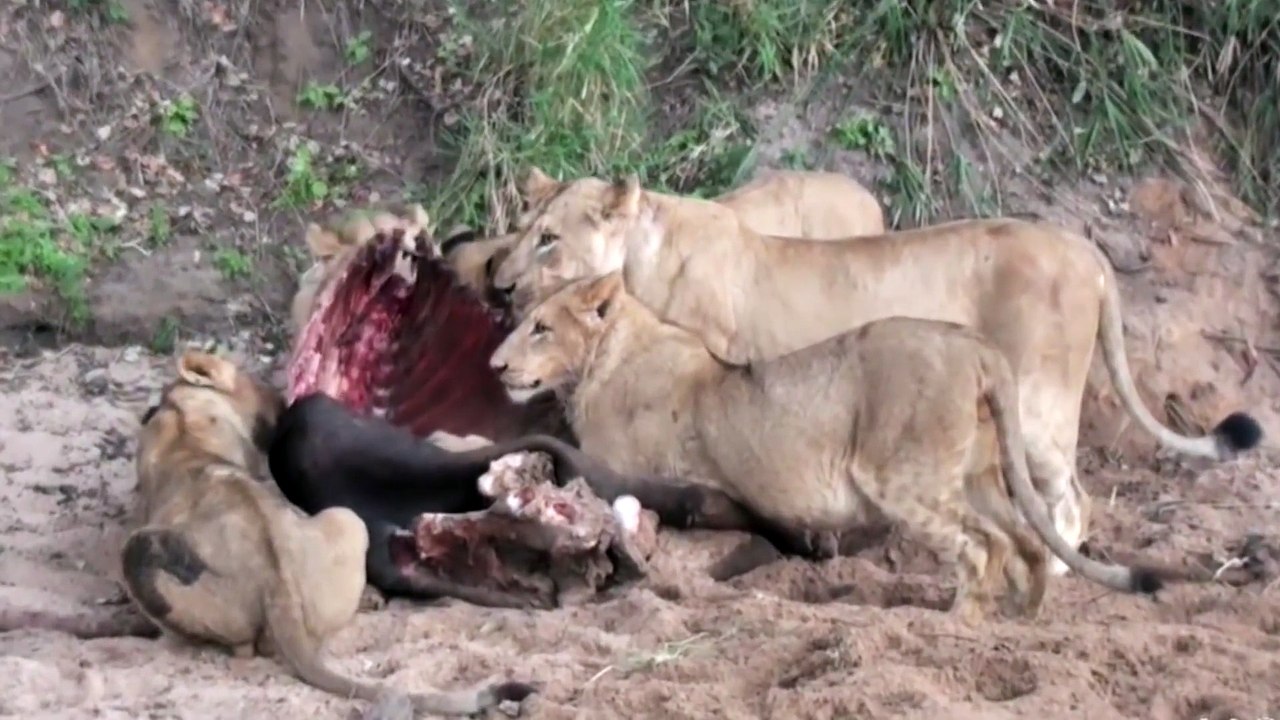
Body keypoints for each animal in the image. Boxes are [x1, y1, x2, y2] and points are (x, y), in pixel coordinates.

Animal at [486, 272, 1211, 622]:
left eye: (541, 328)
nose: (495, 367)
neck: (608, 356)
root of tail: (977, 348)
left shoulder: (626, 471)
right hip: (976, 475)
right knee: (1026, 541)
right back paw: (1022, 617)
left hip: (901, 476)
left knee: (983, 546)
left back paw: (957, 622)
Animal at [488, 176, 1264, 576]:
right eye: (522, 227)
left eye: (548, 238)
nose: (499, 285)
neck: (643, 254)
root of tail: (1087, 249)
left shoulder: (707, 374)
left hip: (1039, 406)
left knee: (1070, 499)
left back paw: (1056, 567)